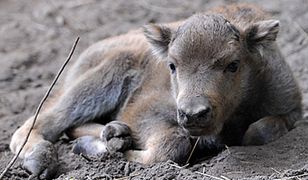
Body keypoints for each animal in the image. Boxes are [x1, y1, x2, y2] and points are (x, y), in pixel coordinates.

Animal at [10, 3, 304, 178]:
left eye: (233, 64)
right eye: (172, 65)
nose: (192, 114)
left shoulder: (291, 107)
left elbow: (260, 130)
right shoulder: (147, 111)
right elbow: (170, 144)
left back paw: (112, 135)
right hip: (100, 79)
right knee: (42, 122)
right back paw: (44, 159)